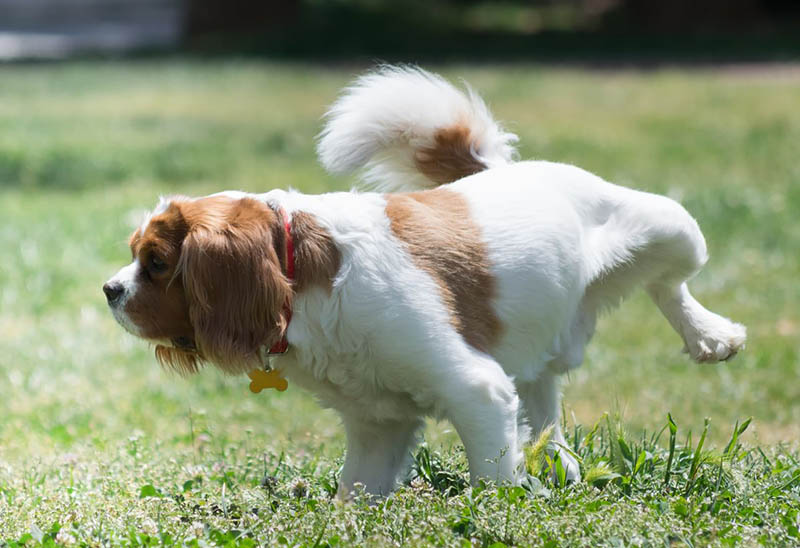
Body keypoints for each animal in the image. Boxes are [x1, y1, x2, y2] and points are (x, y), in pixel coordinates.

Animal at [103, 67, 748, 496]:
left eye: (156, 262)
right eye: (136, 256)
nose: (109, 290)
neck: (303, 280)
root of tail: (504, 170)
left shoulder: (477, 391)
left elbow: (492, 483)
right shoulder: (377, 428)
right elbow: (355, 494)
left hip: (671, 225)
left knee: (671, 282)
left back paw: (710, 335)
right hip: (538, 347)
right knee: (544, 404)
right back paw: (558, 464)